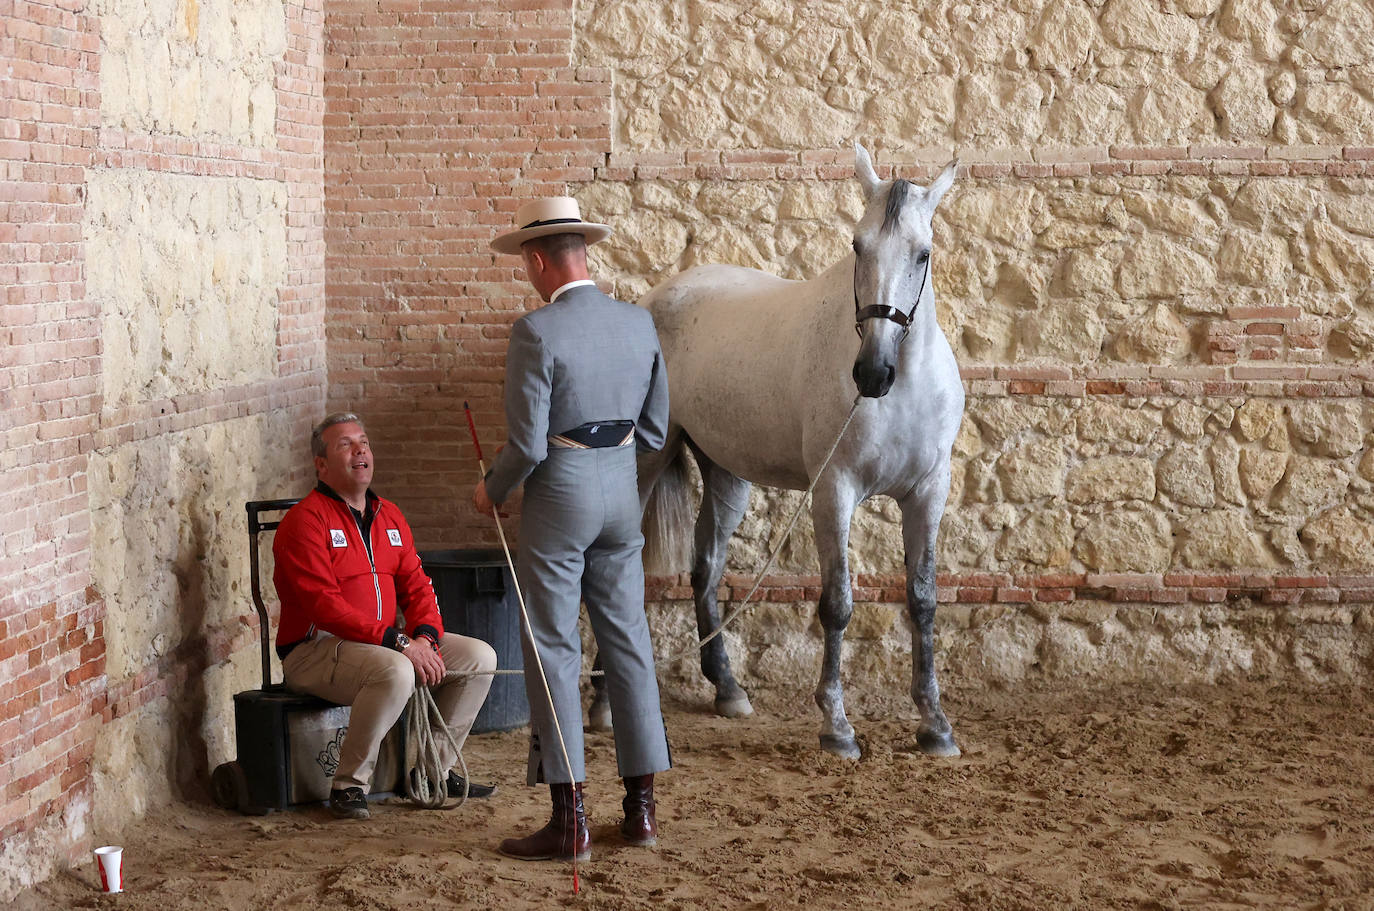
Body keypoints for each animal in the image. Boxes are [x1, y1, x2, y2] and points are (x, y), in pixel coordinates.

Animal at [593, 140, 967, 752]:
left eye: (923, 254)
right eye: (857, 245)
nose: (872, 372)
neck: (904, 387)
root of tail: (654, 298)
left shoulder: (927, 493)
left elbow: (923, 599)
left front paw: (934, 724)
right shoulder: (834, 491)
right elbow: (837, 603)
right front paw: (836, 725)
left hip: (726, 475)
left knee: (706, 567)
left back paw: (727, 689)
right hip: (645, 464)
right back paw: (603, 703)